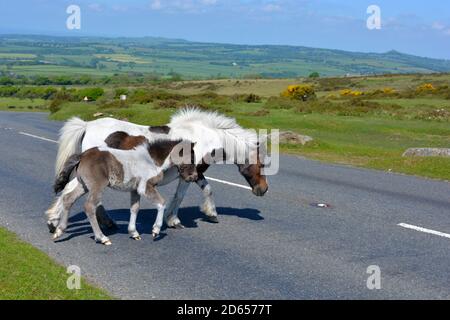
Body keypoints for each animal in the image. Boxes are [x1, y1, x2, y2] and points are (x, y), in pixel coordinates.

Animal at [47, 138, 197, 245]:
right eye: (190, 157)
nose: (194, 177)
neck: (151, 160)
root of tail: (83, 155)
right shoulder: (146, 187)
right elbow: (161, 203)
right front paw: (155, 230)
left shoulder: (135, 190)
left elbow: (135, 208)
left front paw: (134, 233)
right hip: (97, 186)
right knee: (89, 206)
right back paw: (102, 238)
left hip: (83, 185)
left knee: (68, 199)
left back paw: (59, 231)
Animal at [49, 109, 268, 231]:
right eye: (263, 164)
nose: (263, 190)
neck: (204, 137)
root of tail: (87, 125)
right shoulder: (188, 175)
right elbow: (182, 195)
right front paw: (174, 220)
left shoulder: (196, 173)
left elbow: (206, 189)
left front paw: (210, 213)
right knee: (70, 189)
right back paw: (54, 220)